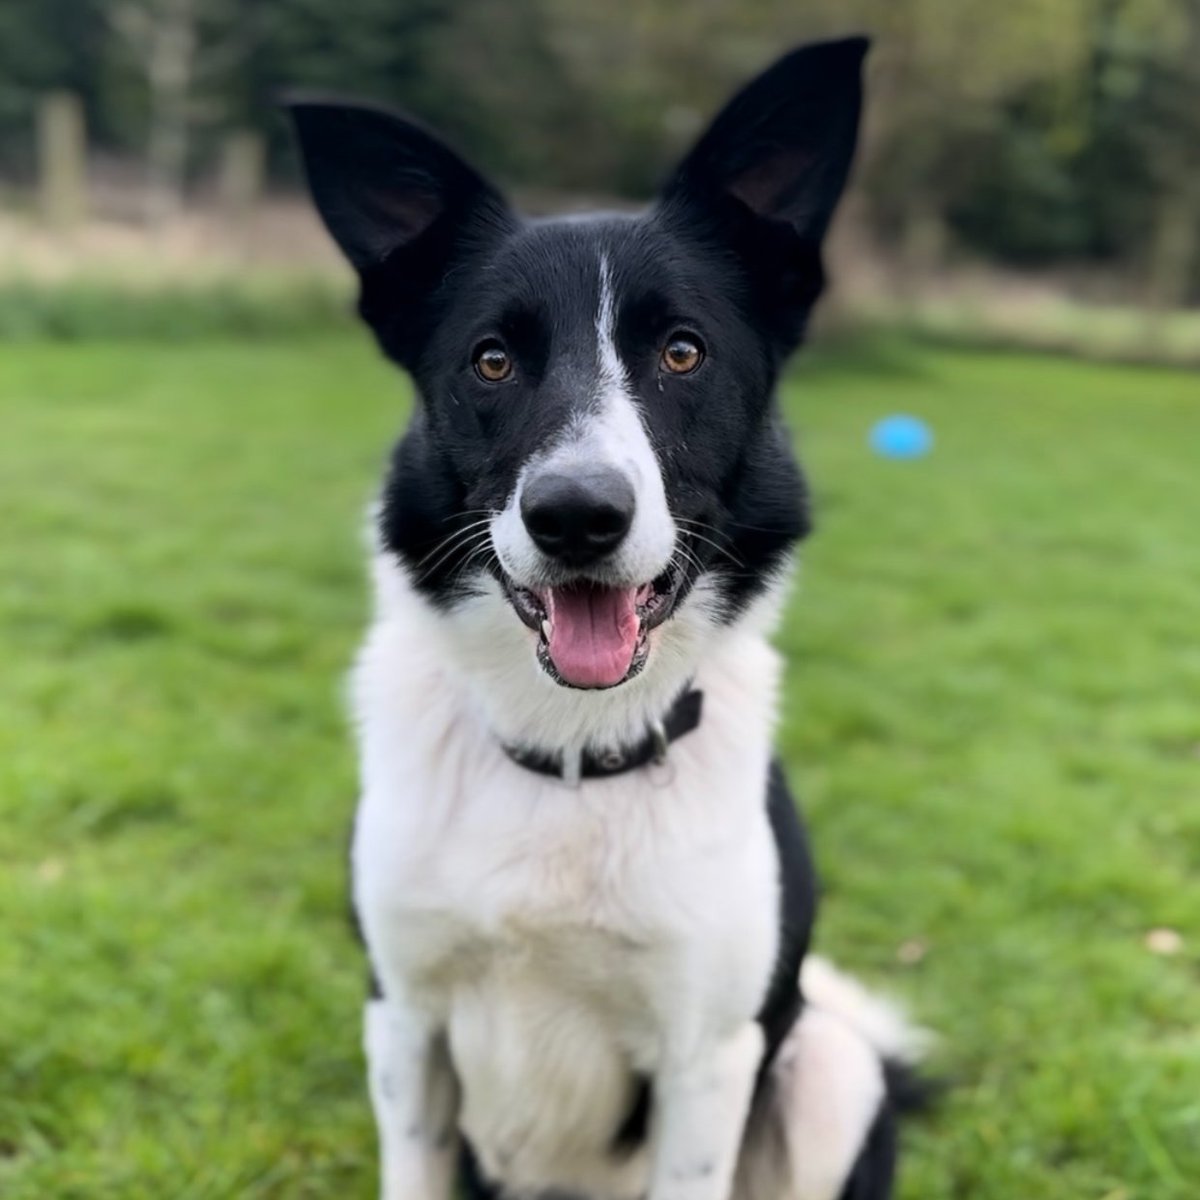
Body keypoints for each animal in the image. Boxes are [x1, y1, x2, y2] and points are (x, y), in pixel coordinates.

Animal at [285, 32, 921, 1200]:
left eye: (683, 352)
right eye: (492, 360)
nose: (577, 515)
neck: (569, 755)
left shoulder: (709, 1058)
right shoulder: (402, 1021)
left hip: (828, 1067)